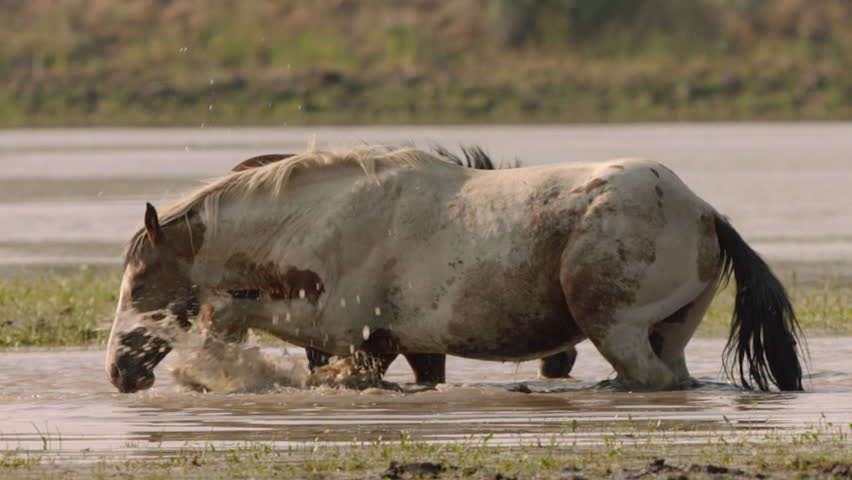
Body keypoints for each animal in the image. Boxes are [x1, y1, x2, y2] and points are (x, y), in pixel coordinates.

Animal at [105, 145, 804, 393]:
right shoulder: (407, 348)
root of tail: (706, 212)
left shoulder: (349, 335)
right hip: (671, 333)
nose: (118, 370)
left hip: (618, 332)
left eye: (139, 282)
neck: (323, 219)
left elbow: (233, 306)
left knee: (647, 379)